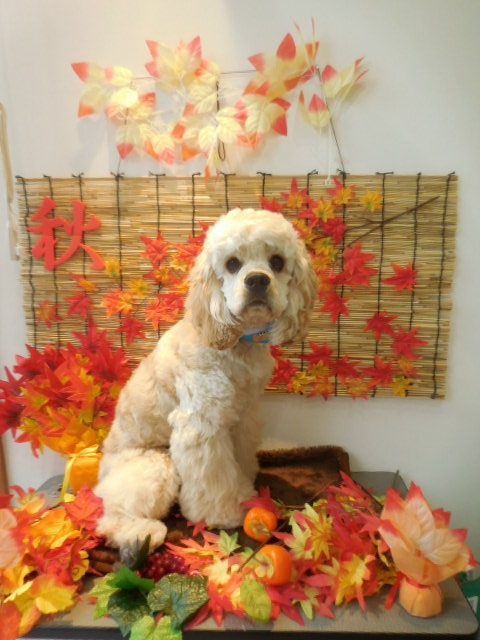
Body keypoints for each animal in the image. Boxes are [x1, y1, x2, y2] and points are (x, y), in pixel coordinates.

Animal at [94, 208, 318, 553]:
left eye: (277, 261)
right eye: (233, 264)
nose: (257, 280)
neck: (237, 346)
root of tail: (101, 474)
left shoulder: (241, 417)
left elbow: (238, 462)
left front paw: (243, 491)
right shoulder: (201, 425)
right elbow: (212, 479)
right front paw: (223, 513)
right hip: (155, 465)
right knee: (110, 519)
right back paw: (142, 534)